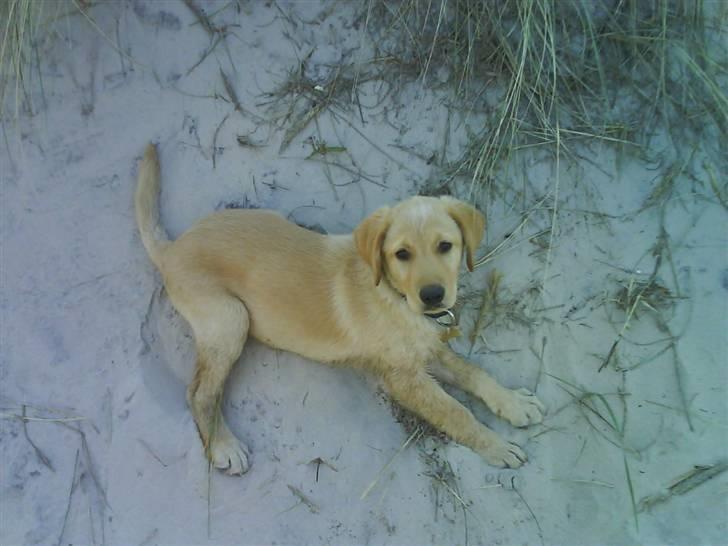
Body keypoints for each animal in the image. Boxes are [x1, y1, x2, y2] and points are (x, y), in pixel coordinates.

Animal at [134, 143, 544, 472]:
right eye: (402, 254)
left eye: (446, 246)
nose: (432, 296)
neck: (394, 295)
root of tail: (174, 248)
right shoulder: (404, 378)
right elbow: (456, 412)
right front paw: (495, 444)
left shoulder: (425, 348)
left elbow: (473, 372)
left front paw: (512, 402)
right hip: (230, 318)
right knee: (199, 393)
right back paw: (223, 446)